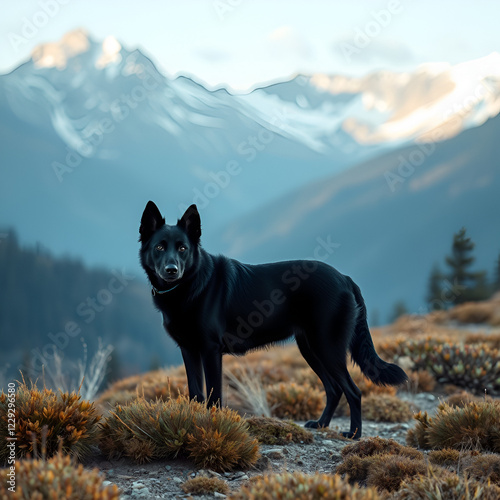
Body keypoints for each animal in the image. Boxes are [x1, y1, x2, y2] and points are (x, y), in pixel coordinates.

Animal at [140, 201, 406, 436]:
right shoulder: (189, 351)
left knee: (353, 391)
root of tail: (345, 278)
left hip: (327, 347)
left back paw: (354, 435)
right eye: (160, 248)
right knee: (334, 389)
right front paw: (196, 424)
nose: (172, 270)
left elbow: (214, 396)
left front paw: (212, 426)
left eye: (183, 248)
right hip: (310, 348)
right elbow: (196, 393)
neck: (189, 286)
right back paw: (321, 424)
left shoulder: (210, 351)